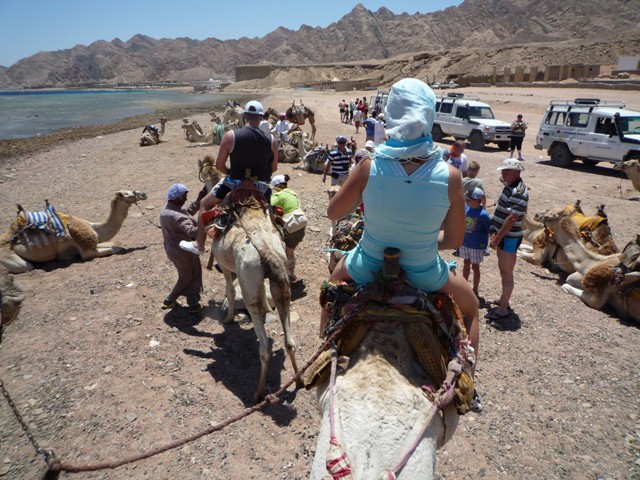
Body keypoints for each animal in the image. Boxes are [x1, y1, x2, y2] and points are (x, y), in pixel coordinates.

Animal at [0, 191, 148, 274]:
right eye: (130, 195)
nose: (144, 194)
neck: (94, 228)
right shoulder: (85, 249)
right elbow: (115, 248)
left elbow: (112, 244)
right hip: (11, 258)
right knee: (26, 266)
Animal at [209, 191, 302, 402]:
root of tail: (267, 251)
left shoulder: (225, 265)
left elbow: (229, 290)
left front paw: (228, 319)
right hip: (282, 285)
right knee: (290, 341)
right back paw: (299, 381)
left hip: (249, 285)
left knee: (265, 348)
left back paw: (258, 393)